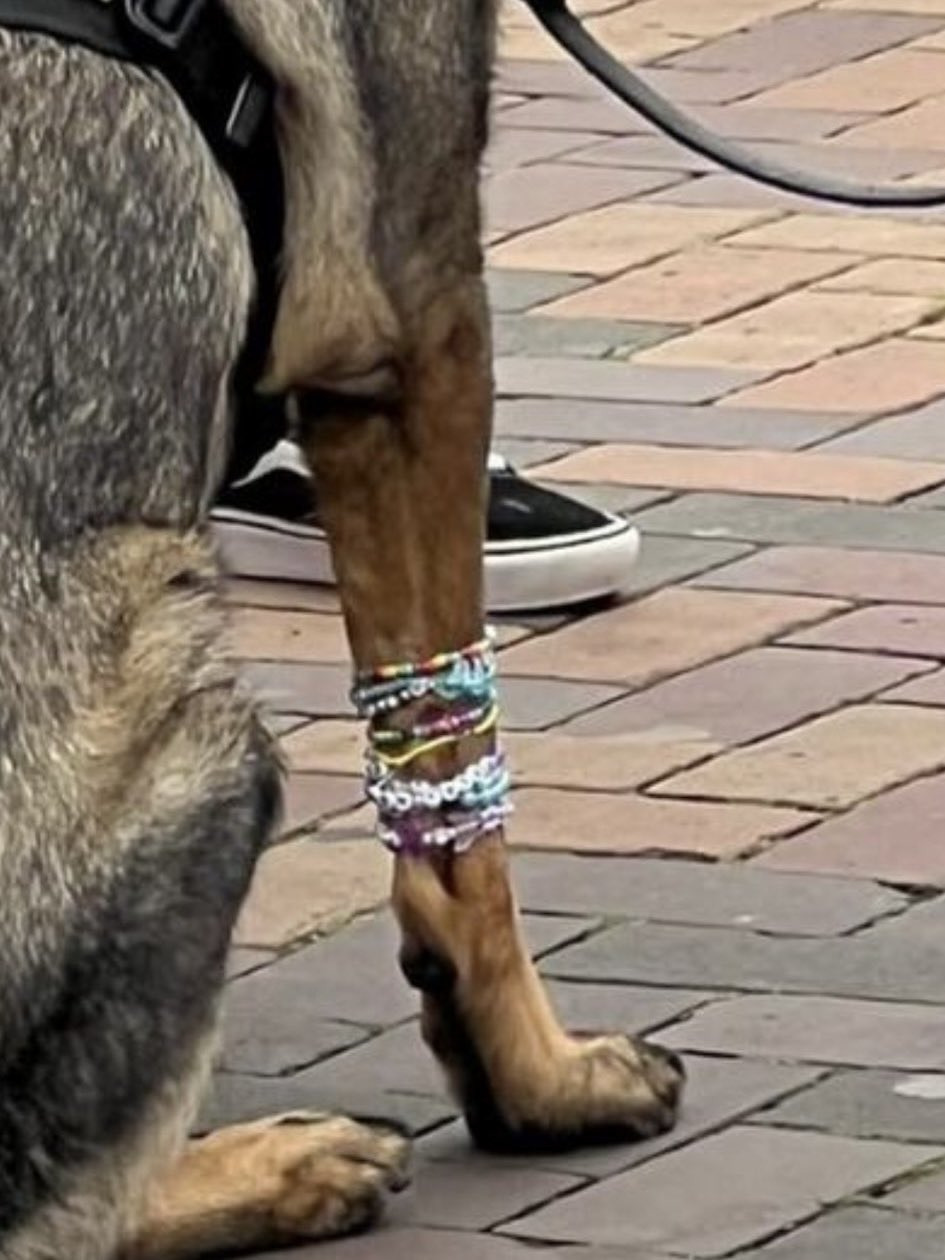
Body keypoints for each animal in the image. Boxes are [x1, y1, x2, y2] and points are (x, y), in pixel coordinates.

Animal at [0, 2, 684, 1256]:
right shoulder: (412, 326)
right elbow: (460, 822)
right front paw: (540, 1082)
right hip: (182, 679)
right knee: (72, 1213)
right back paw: (265, 1170)